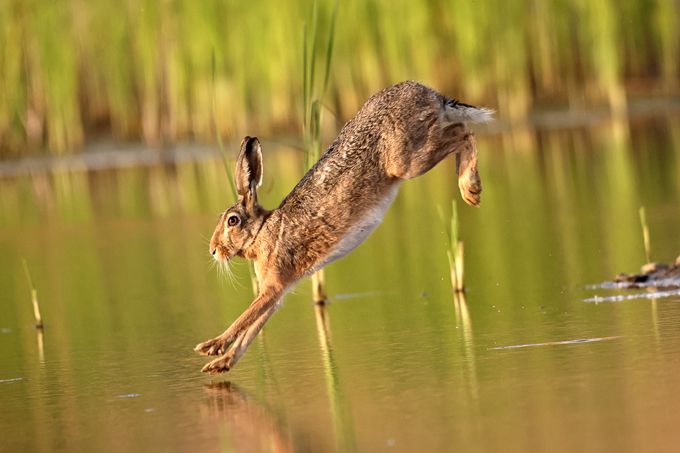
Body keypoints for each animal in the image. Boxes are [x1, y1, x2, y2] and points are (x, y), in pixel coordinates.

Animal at [195, 81, 493, 373]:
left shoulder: (274, 285)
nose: (213, 251)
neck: (261, 232)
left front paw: (210, 346)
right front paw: (220, 363)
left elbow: (244, 320)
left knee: (463, 133)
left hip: (406, 160)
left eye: (232, 221)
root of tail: (432, 95)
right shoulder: (276, 293)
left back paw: (471, 189)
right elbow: (251, 330)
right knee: (460, 129)